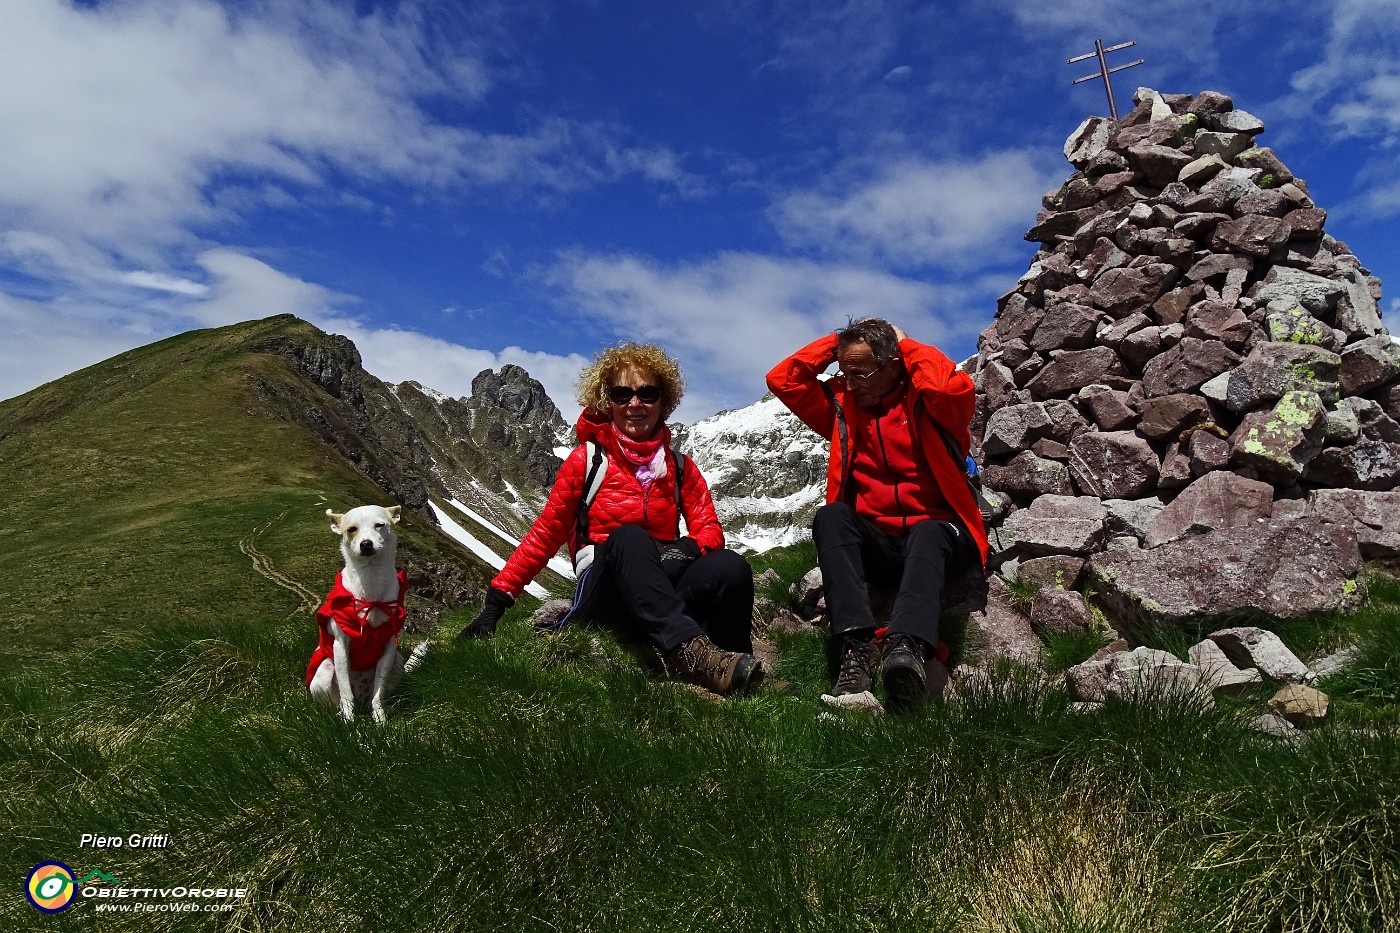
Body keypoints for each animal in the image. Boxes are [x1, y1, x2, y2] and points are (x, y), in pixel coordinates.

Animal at [308, 501, 408, 717]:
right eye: (351, 529)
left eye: (379, 525)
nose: (366, 544)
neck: (370, 579)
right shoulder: (340, 647)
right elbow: (346, 692)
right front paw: (348, 719)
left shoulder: (389, 648)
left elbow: (379, 692)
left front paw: (380, 719)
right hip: (325, 668)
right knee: (333, 704)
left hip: (398, 662)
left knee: (375, 696)